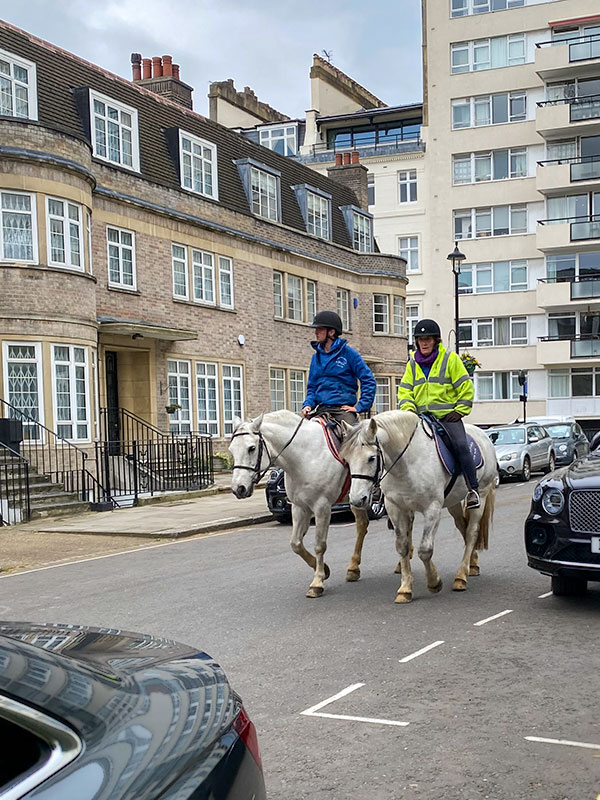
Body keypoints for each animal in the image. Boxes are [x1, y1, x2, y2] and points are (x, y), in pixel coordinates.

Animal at [228, 410, 371, 598]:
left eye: (251, 448)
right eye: (231, 449)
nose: (238, 488)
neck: (304, 456)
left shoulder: (322, 507)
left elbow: (319, 545)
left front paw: (317, 582)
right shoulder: (299, 507)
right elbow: (296, 544)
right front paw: (324, 570)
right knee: (362, 525)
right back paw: (353, 569)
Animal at [339, 410, 497, 603]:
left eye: (371, 458)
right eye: (347, 459)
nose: (356, 499)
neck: (406, 464)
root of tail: (483, 434)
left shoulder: (432, 509)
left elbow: (425, 550)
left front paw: (434, 582)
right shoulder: (395, 508)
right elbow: (402, 547)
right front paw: (405, 589)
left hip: (480, 494)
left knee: (472, 532)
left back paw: (461, 577)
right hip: (453, 502)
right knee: (463, 527)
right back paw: (472, 565)